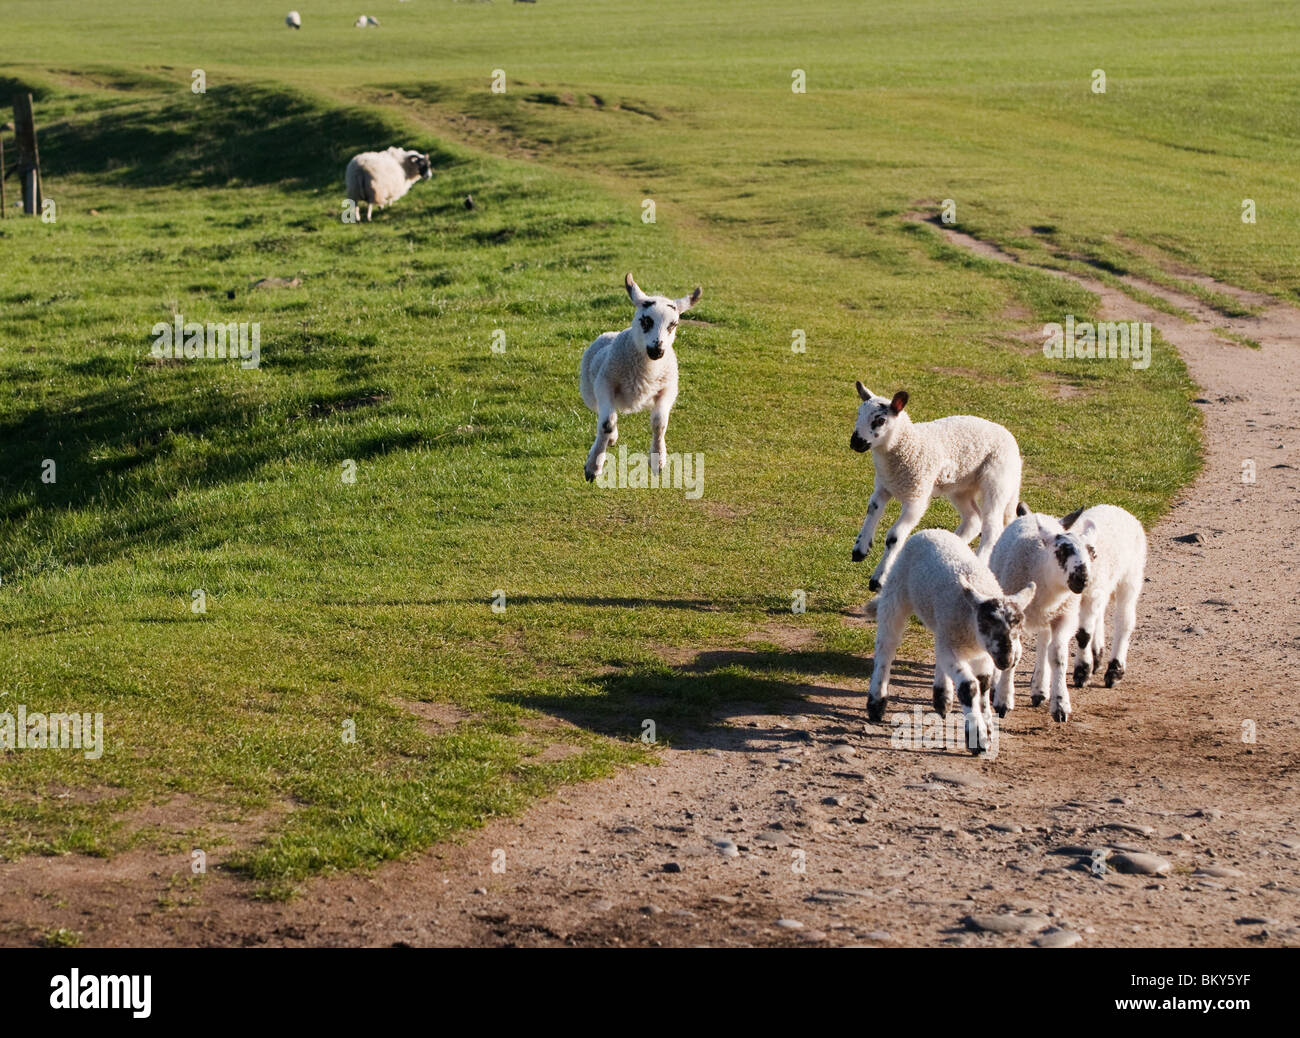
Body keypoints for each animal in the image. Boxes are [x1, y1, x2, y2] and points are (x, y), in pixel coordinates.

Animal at [579, 275, 702, 489]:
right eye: (645, 320)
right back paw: (611, 439)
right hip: (591, 392)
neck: (647, 369)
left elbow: (659, 423)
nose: (657, 350)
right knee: (607, 415)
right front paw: (593, 467)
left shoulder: (669, 388)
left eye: (673, 324)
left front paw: (658, 459)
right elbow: (606, 423)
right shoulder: (605, 384)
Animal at [847, 385, 1019, 593]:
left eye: (880, 420)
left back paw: (979, 560)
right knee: (973, 519)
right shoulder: (883, 486)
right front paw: (860, 549)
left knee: (992, 527)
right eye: (858, 414)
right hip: (961, 487)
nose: (855, 442)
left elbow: (894, 537)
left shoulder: (917, 497)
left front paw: (878, 579)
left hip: (997, 480)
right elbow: (871, 510)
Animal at [863, 528, 1034, 754]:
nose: (1007, 661)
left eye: (1020, 627)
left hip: (942, 626)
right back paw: (876, 703)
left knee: (938, 651)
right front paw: (977, 737)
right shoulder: (958, 645)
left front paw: (987, 728)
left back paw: (942, 697)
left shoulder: (982, 654)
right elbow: (969, 687)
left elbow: (984, 685)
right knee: (886, 645)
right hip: (896, 592)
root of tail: (932, 530)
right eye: (986, 622)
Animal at [987, 509, 1092, 723]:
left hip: (1049, 618)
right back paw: (996, 684)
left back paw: (1039, 689)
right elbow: (1014, 654)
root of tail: (1037, 514)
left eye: (1091, 553)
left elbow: (1058, 656)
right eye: (1061, 552)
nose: (1082, 579)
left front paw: (1060, 704)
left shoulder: (1064, 617)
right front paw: (1003, 700)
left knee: (1044, 643)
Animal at [1060, 504, 1154, 692]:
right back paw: (1097, 657)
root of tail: (1116, 507)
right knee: (1100, 613)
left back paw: (1114, 671)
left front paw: (1082, 673)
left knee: (1124, 620)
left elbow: (1083, 634)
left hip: (1130, 576)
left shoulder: (1090, 594)